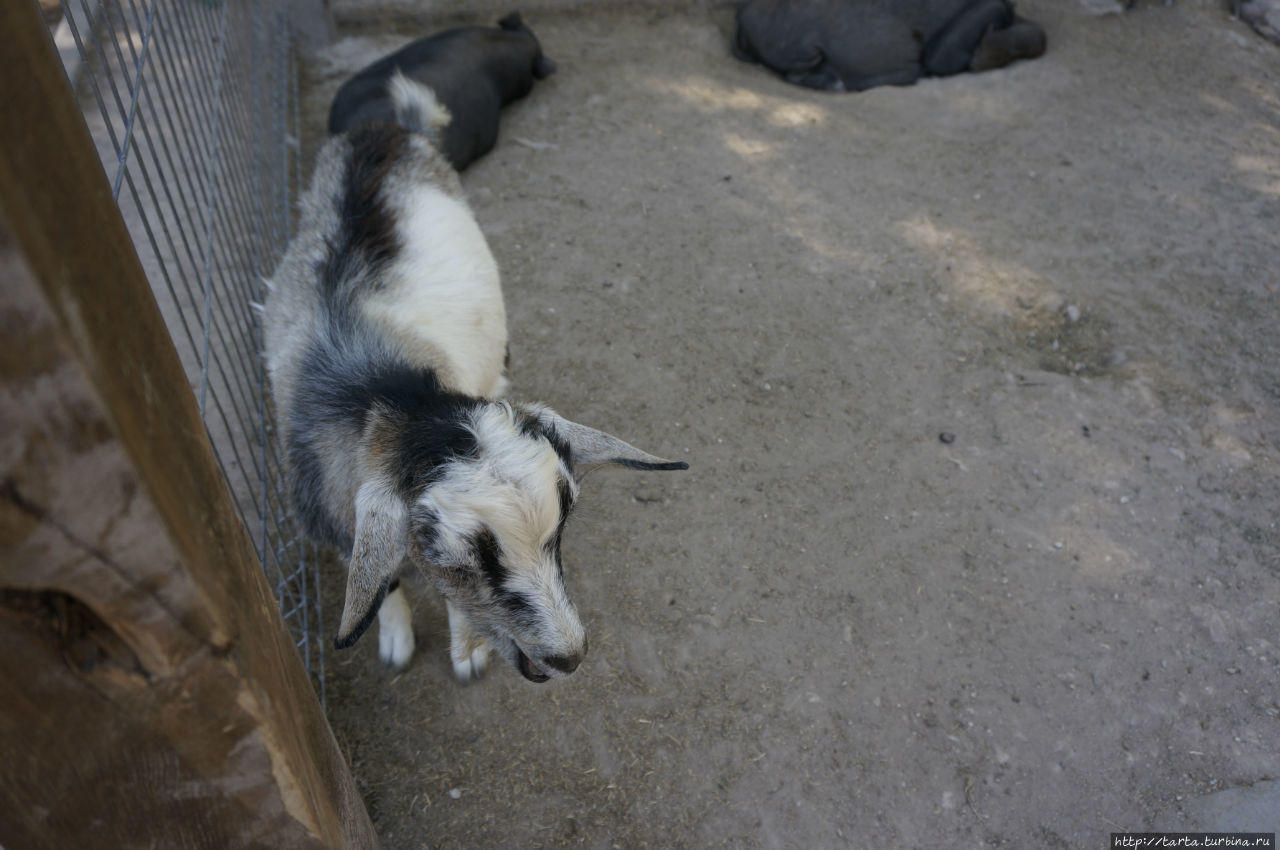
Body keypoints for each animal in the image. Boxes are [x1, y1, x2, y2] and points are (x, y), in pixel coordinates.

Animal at [262, 76, 691, 681]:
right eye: (461, 559)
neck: (380, 387)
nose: (568, 656)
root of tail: (390, 129)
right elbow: (383, 583)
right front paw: (395, 635)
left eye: (560, 531)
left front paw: (466, 650)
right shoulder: (336, 515)